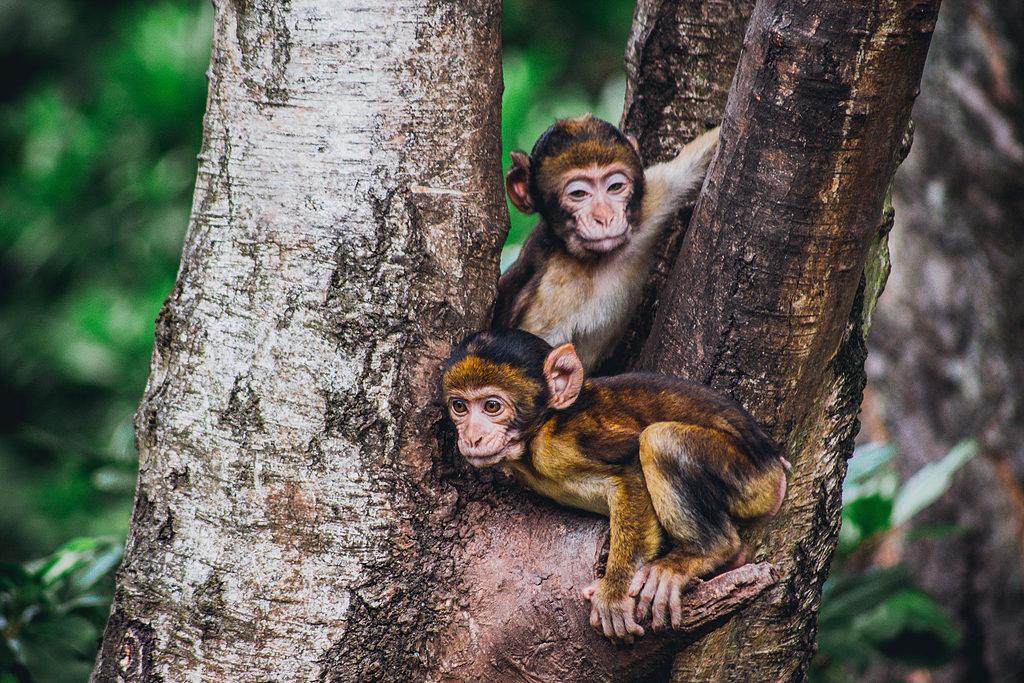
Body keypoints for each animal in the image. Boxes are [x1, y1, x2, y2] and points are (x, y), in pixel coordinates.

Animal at [438, 327, 782, 643]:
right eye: (460, 407)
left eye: (492, 406)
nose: (472, 437)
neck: (536, 435)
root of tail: (775, 463)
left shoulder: (563, 441)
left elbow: (631, 465)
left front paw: (615, 592)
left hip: (751, 477)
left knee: (659, 439)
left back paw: (705, 553)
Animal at [493, 117, 720, 374]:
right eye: (578, 194)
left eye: (614, 187)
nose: (605, 217)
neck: (596, 259)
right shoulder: (552, 295)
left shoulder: (652, 198)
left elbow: (693, 163)